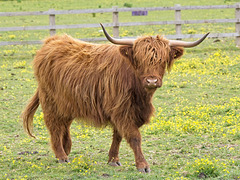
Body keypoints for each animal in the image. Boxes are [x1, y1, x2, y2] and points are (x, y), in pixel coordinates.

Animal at [22, 23, 208, 172]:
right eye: (139, 60)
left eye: (162, 61)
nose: (152, 80)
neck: (140, 94)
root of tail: (51, 41)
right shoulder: (121, 110)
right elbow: (134, 137)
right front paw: (143, 165)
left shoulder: (124, 111)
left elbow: (118, 136)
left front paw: (113, 160)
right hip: (50, 100)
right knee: (54, 125)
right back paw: (61, 156)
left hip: (67, 102)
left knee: (64, 125)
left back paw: (66, 150)